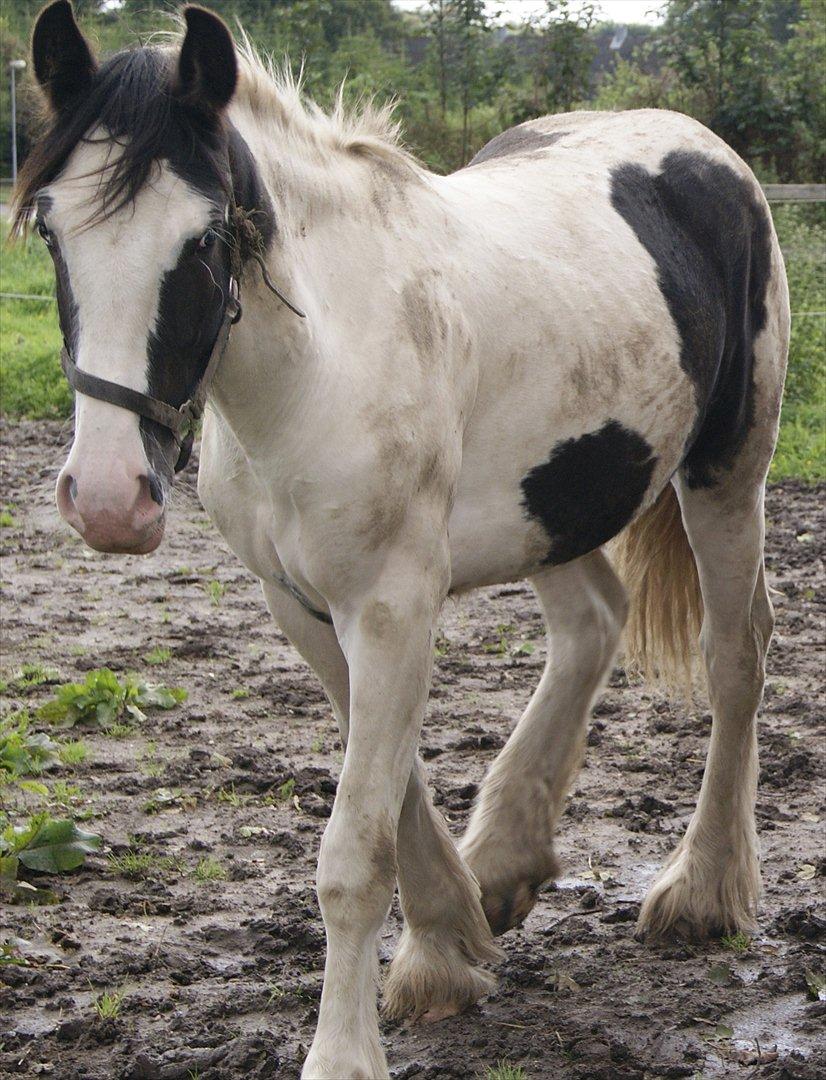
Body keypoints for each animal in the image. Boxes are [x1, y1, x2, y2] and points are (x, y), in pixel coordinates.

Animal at [16, 4, 790, 1075]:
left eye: (204, 236)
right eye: (52, 227)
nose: (105, 498)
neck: (323, 362)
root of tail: (702, 148)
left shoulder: (390, 605)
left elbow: (354, 851)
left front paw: (345, 1052)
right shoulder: (306, 606)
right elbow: (398, 801)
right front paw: (447, 942)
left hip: (726, 472)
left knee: (734, 658)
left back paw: (703, 892)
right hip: (553, 503)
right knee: (594, 621)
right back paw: (505, 860)